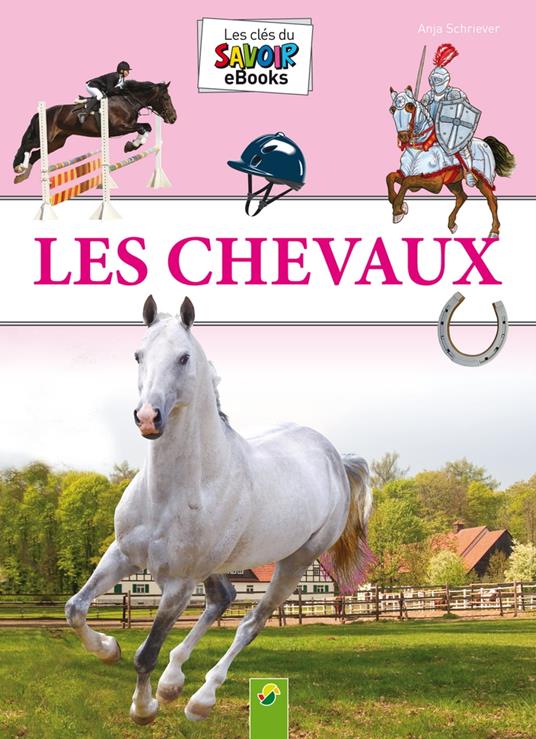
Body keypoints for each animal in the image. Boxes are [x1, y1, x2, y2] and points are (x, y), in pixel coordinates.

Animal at [13, 80, 177, 184]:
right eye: (165, 98)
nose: (174, 118)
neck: (128, 101)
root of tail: (41, 112)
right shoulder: (118, 128)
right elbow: (142, 128)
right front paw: (131, 146)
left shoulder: (128, 126)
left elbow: (147, 127)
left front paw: (133, 145)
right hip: (46, 137)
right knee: (27, 146)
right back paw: (20, 167)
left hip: (56, 142)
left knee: (36, 154)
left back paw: (23, 176)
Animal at [64, 296, 372, 726]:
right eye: (139, 355)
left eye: (183, 357)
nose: (148, 417)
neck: (172, 492)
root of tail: (335, 459)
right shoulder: (123, 554)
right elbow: (74, 608)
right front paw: (109, 650)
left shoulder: (179, 583)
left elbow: (146, 653)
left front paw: (144, 709)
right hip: (218, 564)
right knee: (223, 598)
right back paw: (173, 683)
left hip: (295, 562)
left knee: (250, 623)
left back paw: (199, 700)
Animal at [386, 86, 516, 237]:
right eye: (392, 109)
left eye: (410, 106)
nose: (403, 137)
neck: (421, 147)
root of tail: (486, 143)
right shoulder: (406, 175)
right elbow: (391, 177)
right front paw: (400, 205)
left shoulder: (434, 182)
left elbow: (408, 182)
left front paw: (398, 210)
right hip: (453, 182)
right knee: (462, 197)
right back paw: (452, 224)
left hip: (483, 181)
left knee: (492, 201)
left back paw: (494, 231)